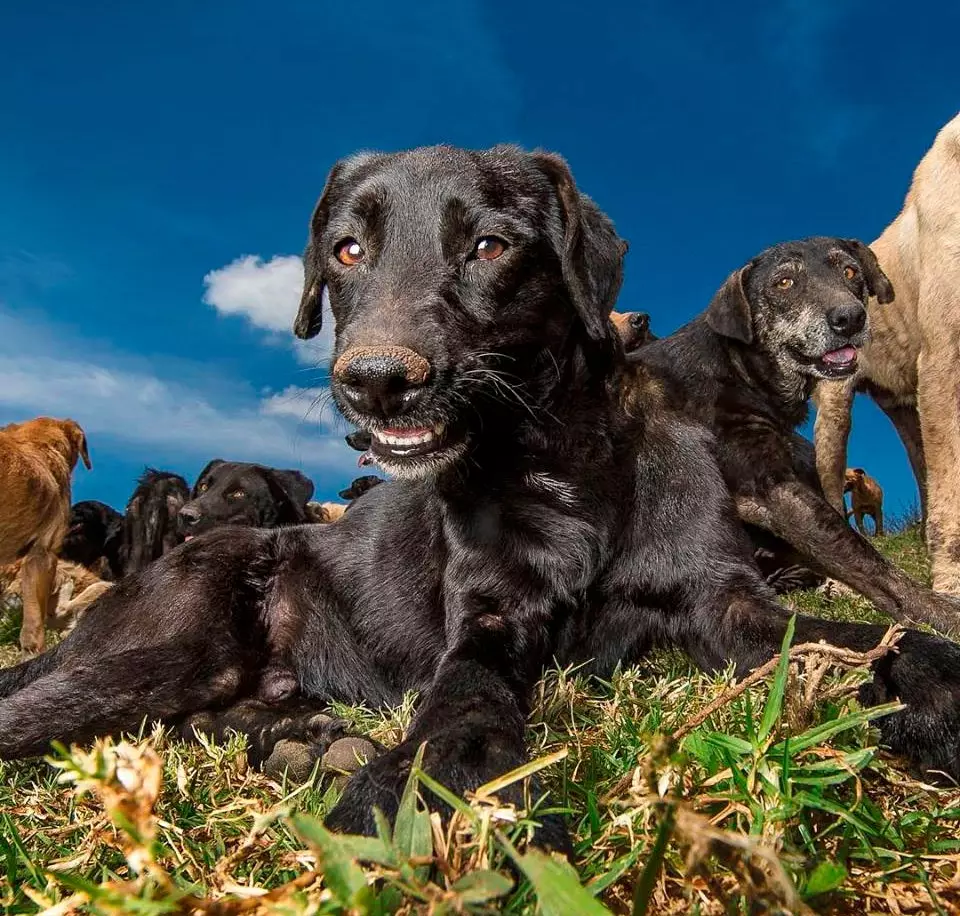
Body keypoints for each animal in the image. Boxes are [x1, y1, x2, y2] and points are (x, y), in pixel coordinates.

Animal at [632, 238, 960, 636]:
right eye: (784, 282)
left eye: (850, 271)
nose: (850, 318)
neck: (739, 368)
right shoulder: (774, 491)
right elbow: (867, 560)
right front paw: (940, 611)